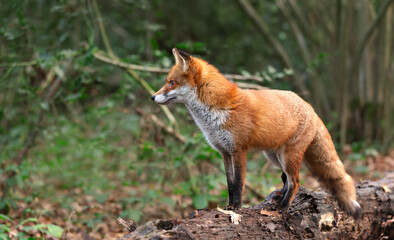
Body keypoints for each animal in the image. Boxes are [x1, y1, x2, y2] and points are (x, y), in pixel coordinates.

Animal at [151, 48, 364, 219]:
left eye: (171, 82)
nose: (152, 97)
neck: (215, 112)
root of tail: (309, 106)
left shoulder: (239, 150)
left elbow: (238, 183)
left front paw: (236, 207)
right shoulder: (224, 152)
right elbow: (229, 183)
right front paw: (229, 206)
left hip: (288, 156)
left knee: (295, 181)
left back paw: (283, 207)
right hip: (273, 156)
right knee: (286, 179)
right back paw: (279, 198)